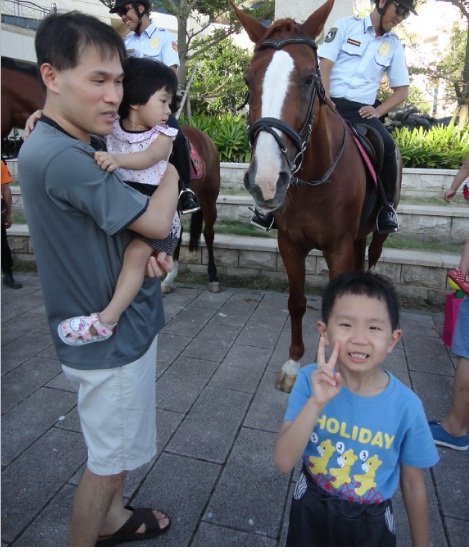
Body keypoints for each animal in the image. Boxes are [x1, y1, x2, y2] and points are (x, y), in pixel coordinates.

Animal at [232, 0, 400, 392]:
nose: (266, 181)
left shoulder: (337, 247)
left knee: (371, 261)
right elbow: (296, 301)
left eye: (310, 79)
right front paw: (294, 364)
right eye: (249, 80)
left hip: (378, 234)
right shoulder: (290, 244)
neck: (312, 178)